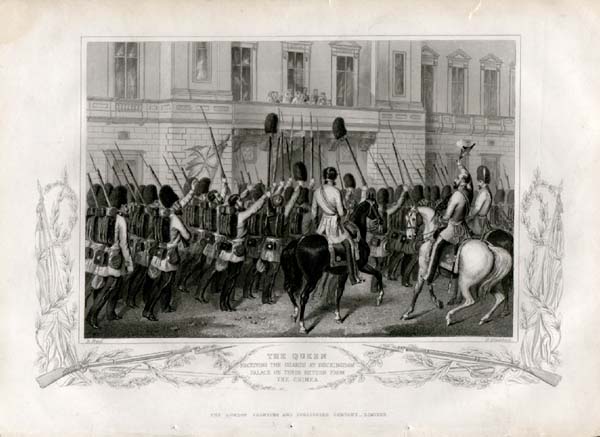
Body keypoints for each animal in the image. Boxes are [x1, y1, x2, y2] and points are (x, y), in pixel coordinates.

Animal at [282, 200, 384, 334]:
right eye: (376, 206)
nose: (381, 220)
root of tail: (298, 242)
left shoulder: (348, 271)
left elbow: (376, 274)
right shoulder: (357, 267)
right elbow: (340, 292)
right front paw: (339, 316)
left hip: (294, 274)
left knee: (289, 289)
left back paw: (295, 313)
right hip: (313, 278)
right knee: (303, 296)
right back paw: (303, 326)